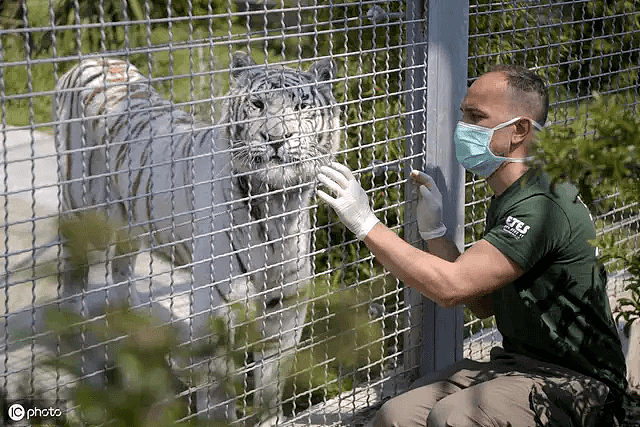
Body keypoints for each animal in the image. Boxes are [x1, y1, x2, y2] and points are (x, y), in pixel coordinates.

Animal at [53, 53, 342, 424]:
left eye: (302, 106)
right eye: (258, 104)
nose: (277, 138)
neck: (279, 205)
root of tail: (91, 59)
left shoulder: (288, 301)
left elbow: (272, 379)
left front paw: (269, 418)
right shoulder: (217, 303)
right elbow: (218, 388)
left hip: (129, 222)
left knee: (120, 270)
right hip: (79, 207)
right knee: (72, 277)